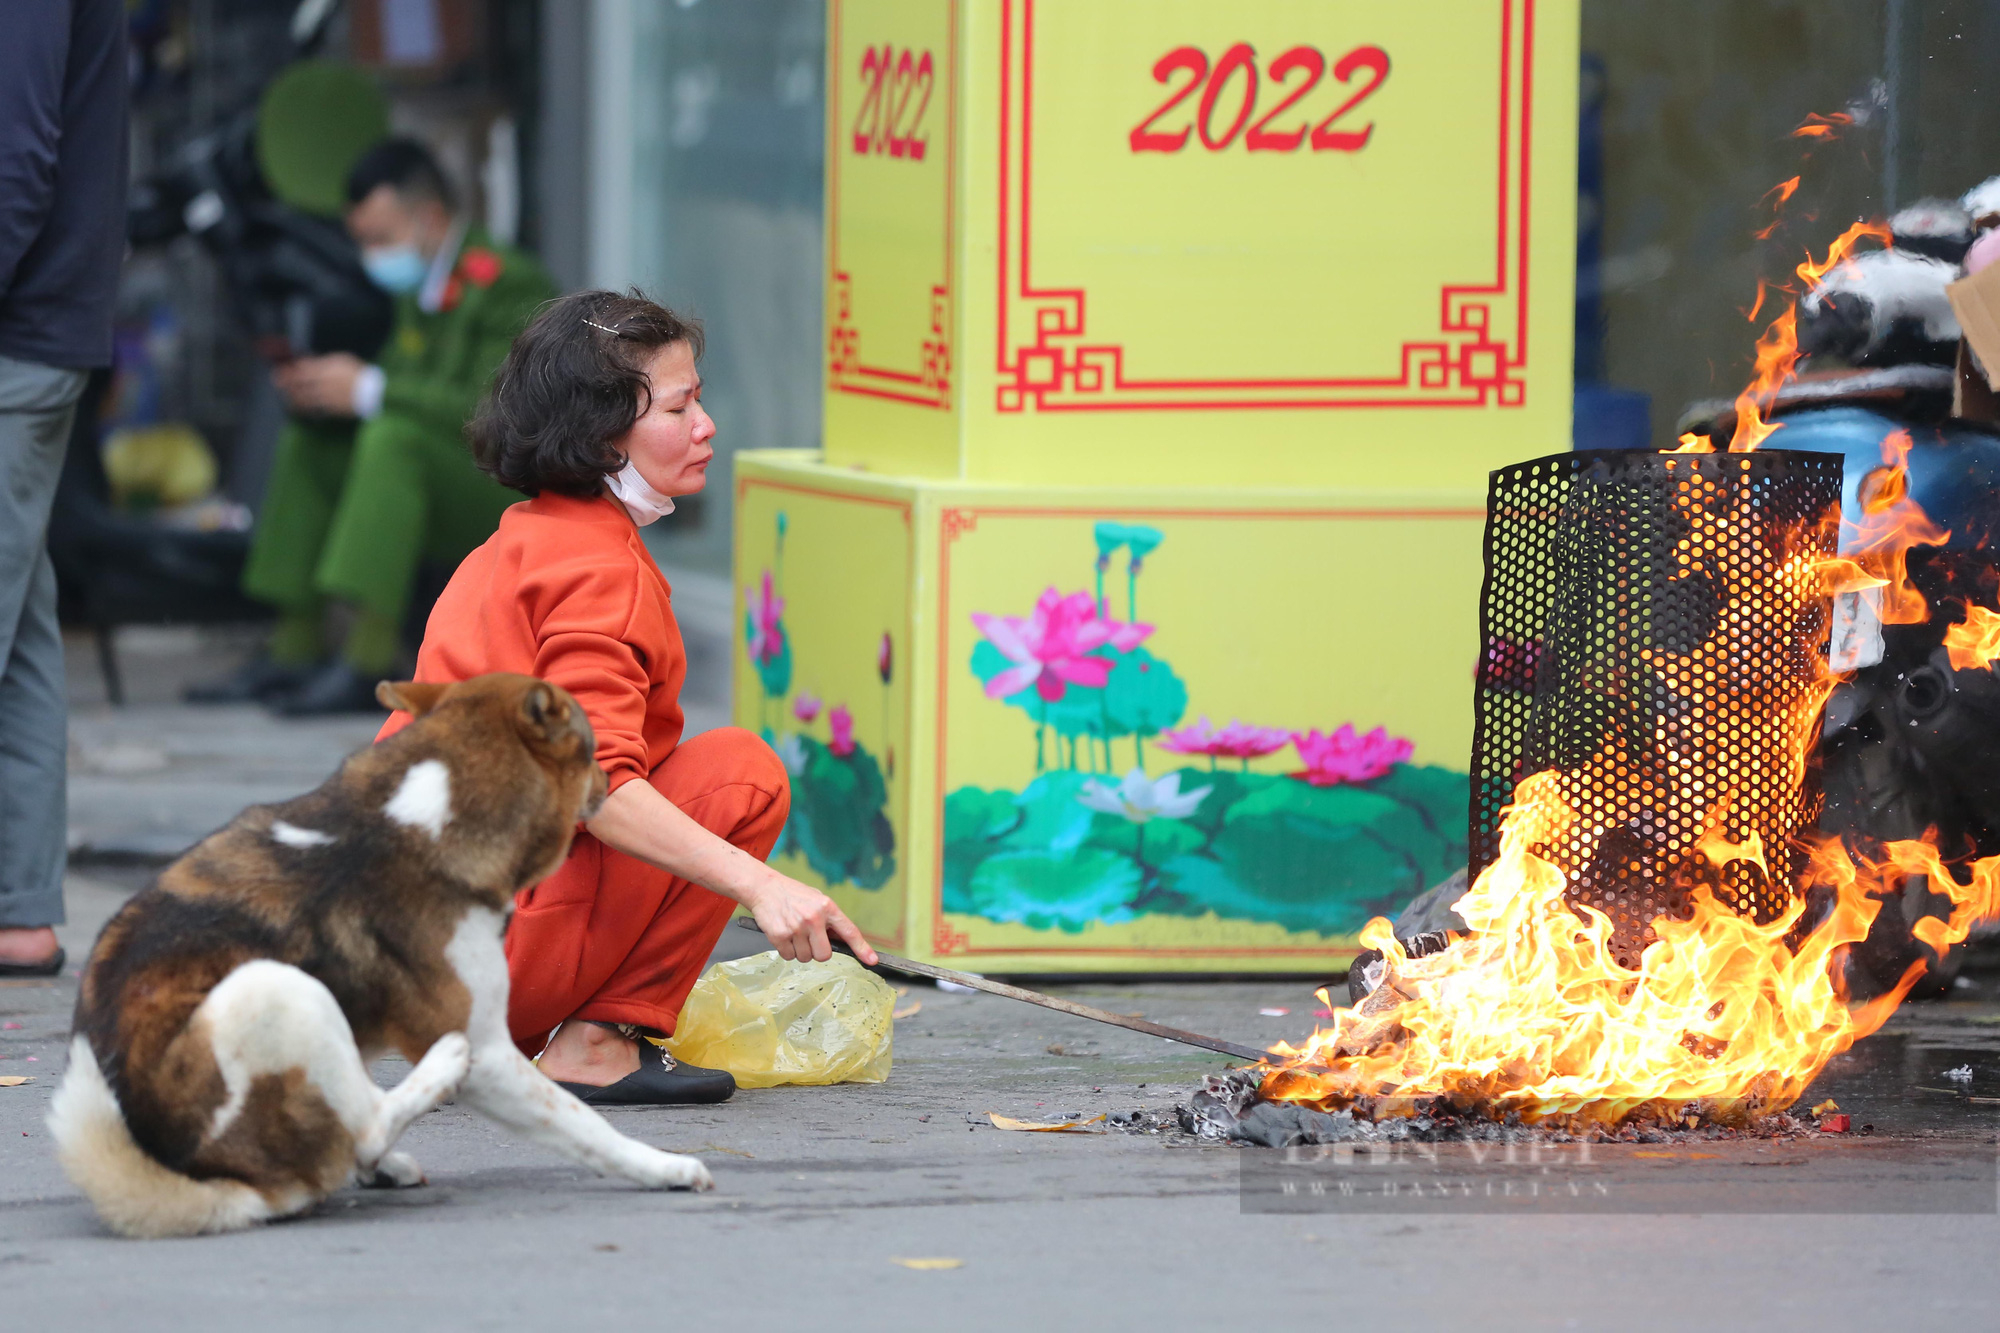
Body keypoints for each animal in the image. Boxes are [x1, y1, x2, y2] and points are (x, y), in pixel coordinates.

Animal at [45, 676, 720, 1232]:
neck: (425, 810)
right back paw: (431, 1080)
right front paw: (660, 1167)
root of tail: (226, 1183)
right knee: (362, 1130)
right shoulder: (491, 1049)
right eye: (589, 748)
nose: (614, 779)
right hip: (276, 985)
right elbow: (585, 1122)